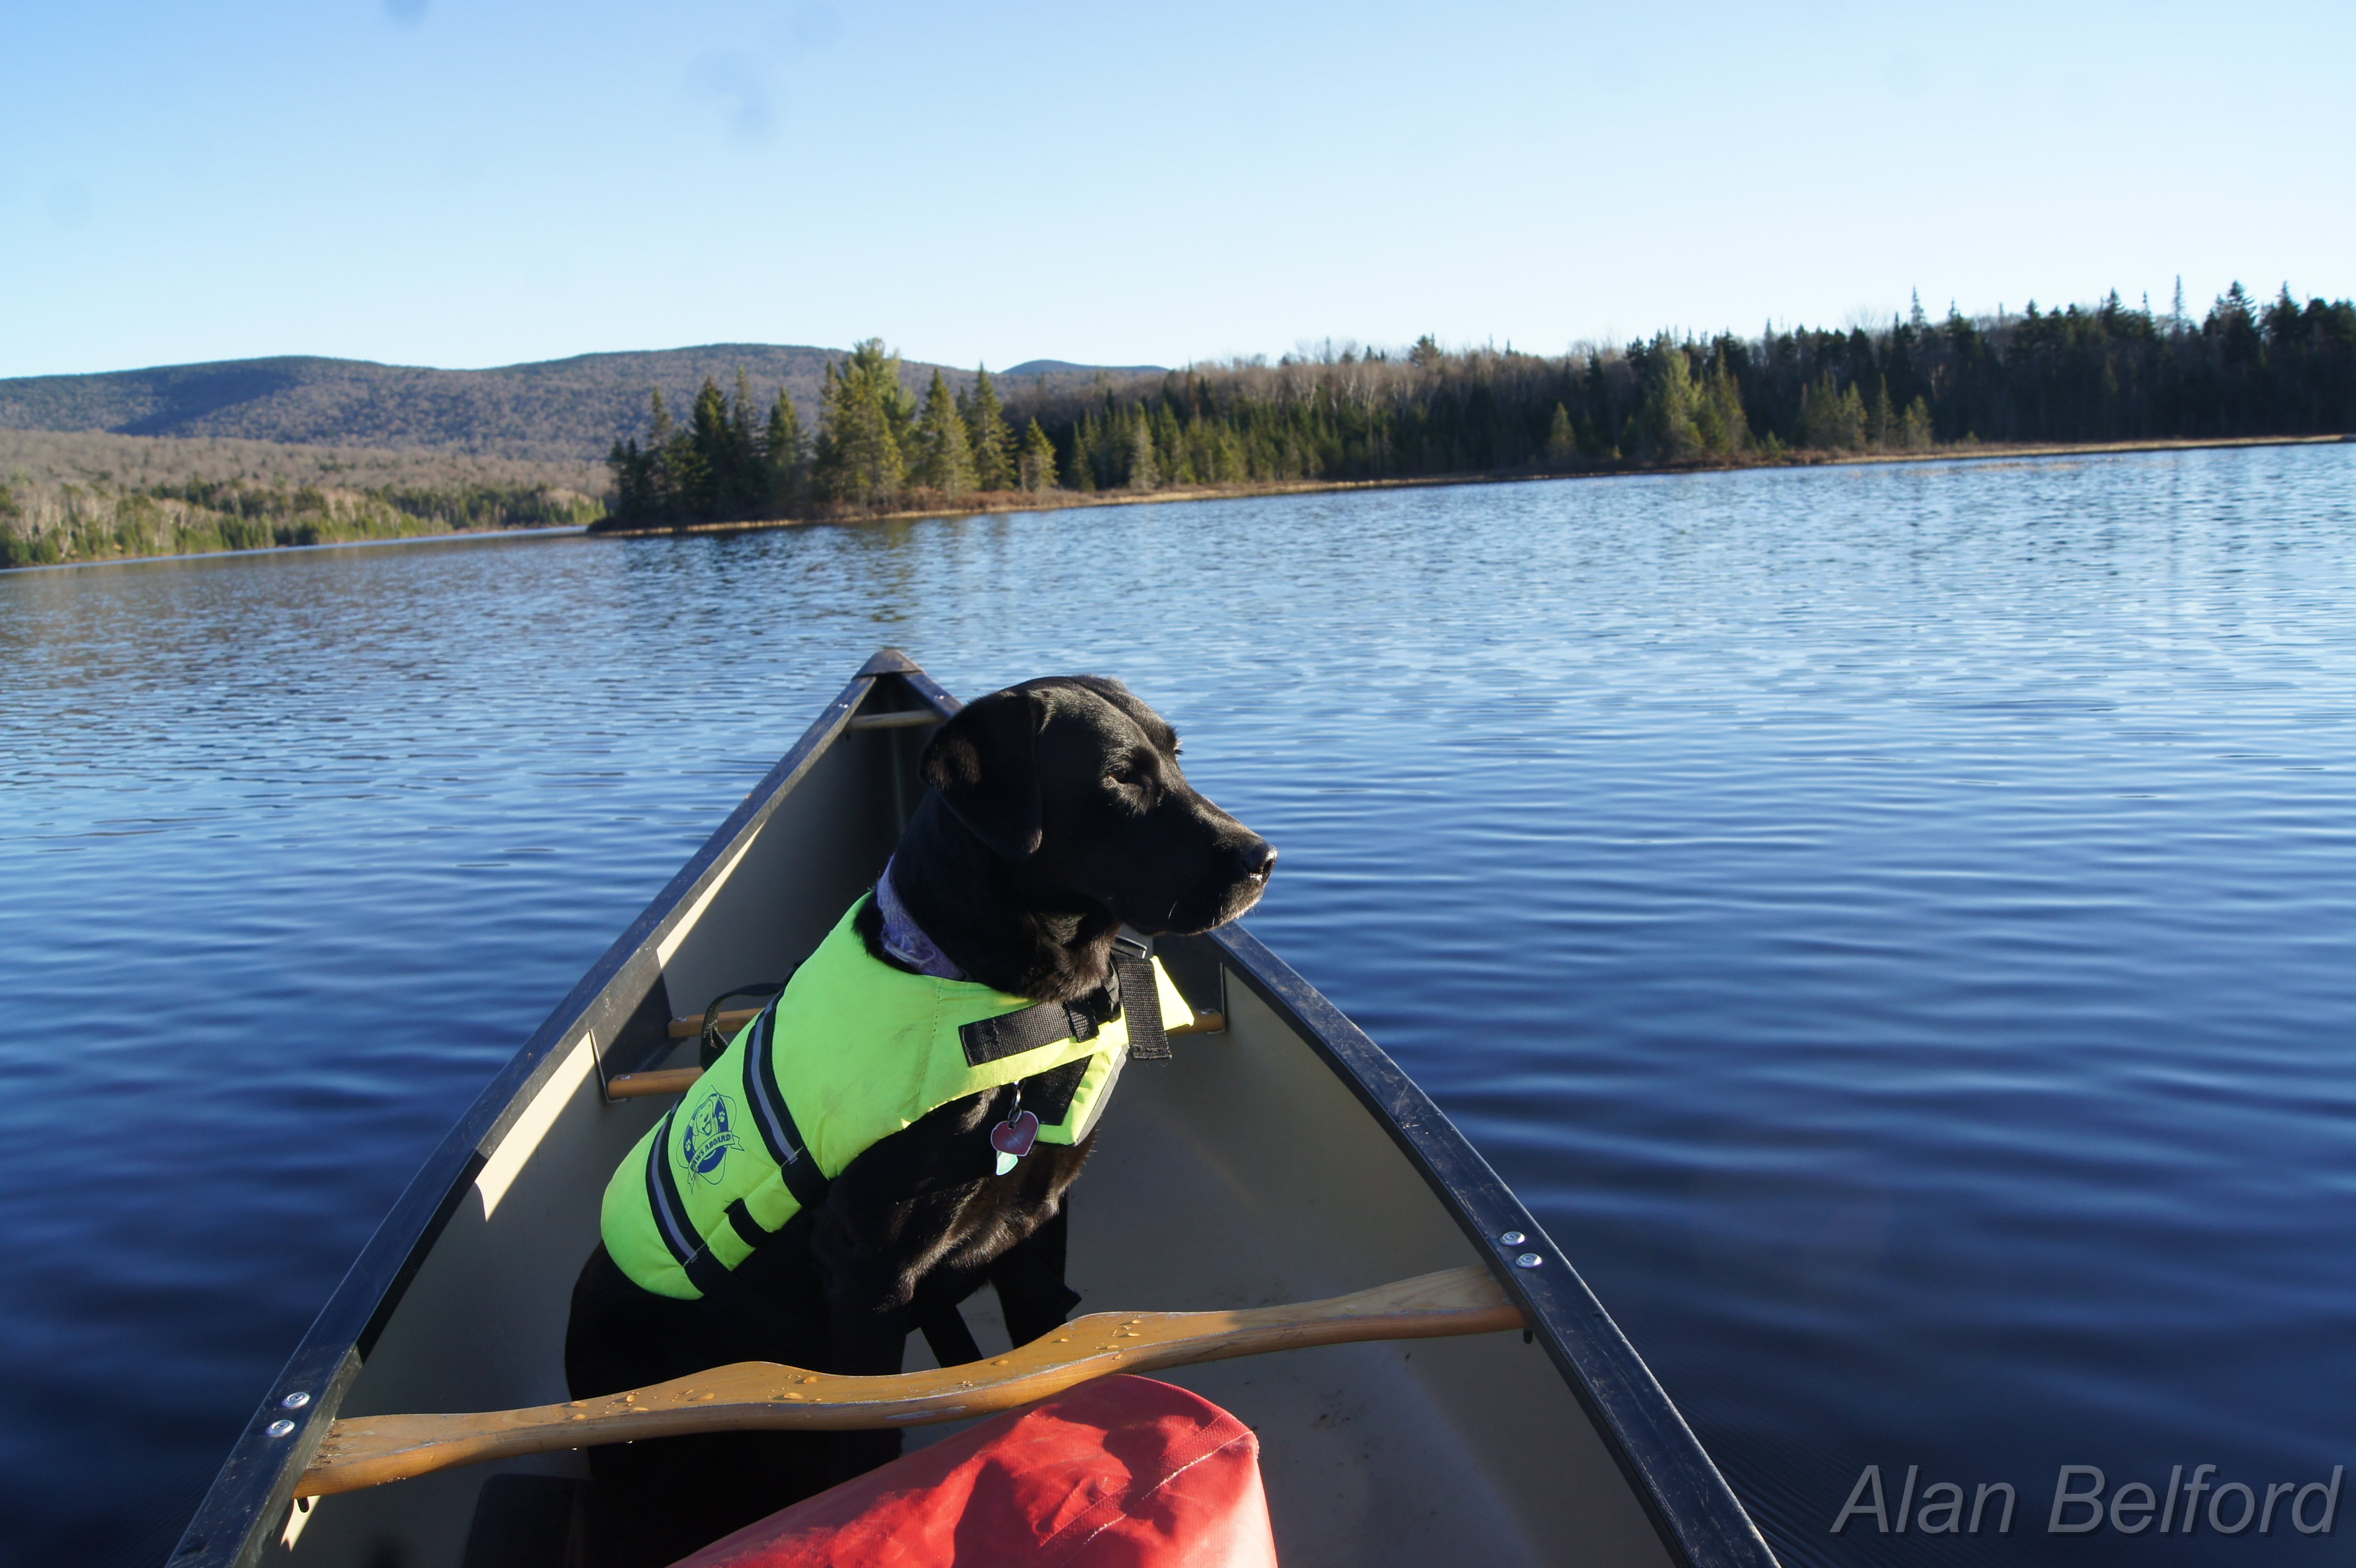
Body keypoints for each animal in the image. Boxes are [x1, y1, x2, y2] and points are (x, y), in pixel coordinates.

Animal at [565, 673, 1272, 1563]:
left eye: (1178, 756)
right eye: (1120, 778)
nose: (1263, 859)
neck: (992, 986)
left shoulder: (1040, 1225)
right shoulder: (867, 1277)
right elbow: (868, 1443)